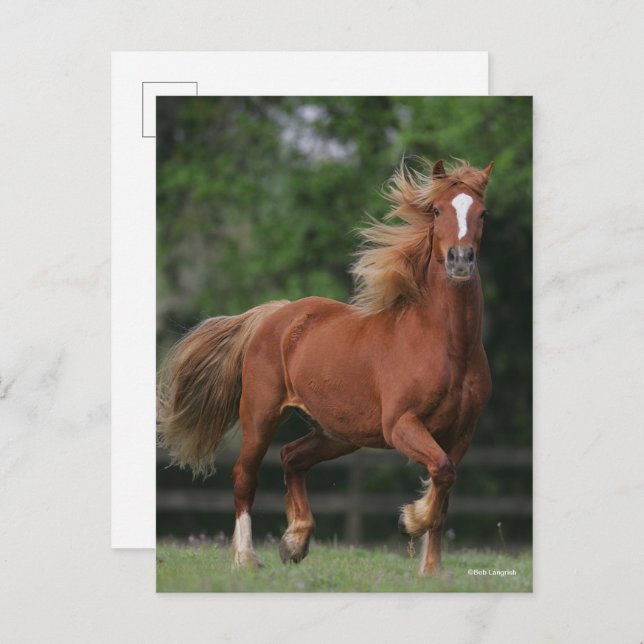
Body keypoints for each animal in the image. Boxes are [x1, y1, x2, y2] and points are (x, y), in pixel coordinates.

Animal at [157, 158, 494, 575]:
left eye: (483, 213)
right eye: (435, 210)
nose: (460, 261)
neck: (447, 347)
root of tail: (274, 314)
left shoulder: (462, 433)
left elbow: (444, 485)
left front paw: (431, 570)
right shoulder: (401, 424)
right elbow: (441, 473)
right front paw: (410, 520)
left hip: (339, 432)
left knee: (291, 457)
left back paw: (295, 541)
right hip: (261, 416)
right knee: (244, 477)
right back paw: (247, 558)